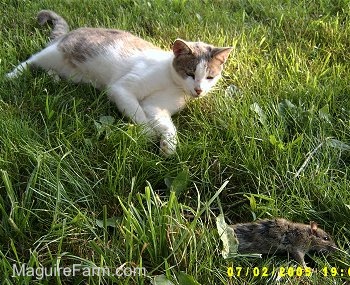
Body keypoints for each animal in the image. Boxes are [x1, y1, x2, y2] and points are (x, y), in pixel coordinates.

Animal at [5, 10, 232, 155]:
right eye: (190, 73)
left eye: (210, 77)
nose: (199, 90)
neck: (173, 84)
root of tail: (70, 32)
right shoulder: (122, 89)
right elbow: (138, 113)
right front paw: (148, 134)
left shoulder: (157, 106)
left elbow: (165, 123)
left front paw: (168, 146)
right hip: (54, 53)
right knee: (31, 61)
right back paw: (11, 76)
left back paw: (53, 78)